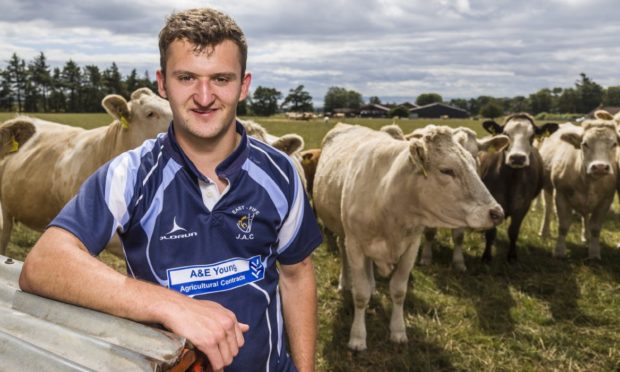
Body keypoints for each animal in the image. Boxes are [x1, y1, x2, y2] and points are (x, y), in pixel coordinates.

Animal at [312, 123, 506, 350]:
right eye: (447, 170)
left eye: (476, 163)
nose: (497, 213)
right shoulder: (356, 245)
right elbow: (360, 294)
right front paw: (357, 337)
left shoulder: (411, 247)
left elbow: (398, 290)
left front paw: (398, 330)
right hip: (343, 232)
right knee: (343, 253)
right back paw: (345, 282)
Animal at [478, 113, 560, 262]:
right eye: (505, 134)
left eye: (532, 136)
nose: (517, 158)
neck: (512, 179)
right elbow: (491, 233)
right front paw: (486, 256)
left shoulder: (523, 206)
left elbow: (513, 231)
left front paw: (512, 256)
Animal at [536, 112, 620, 260]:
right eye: (585, 144)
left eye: (614, 144)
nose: (600, 167)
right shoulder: (561, 195)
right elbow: (563, 225)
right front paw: (559, 251)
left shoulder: (606, 200)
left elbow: (595, 228)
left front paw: (594, 252)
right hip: (547, 187)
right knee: (548, 208)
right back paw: (544, 232)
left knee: (585, 216)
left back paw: (586, 237)